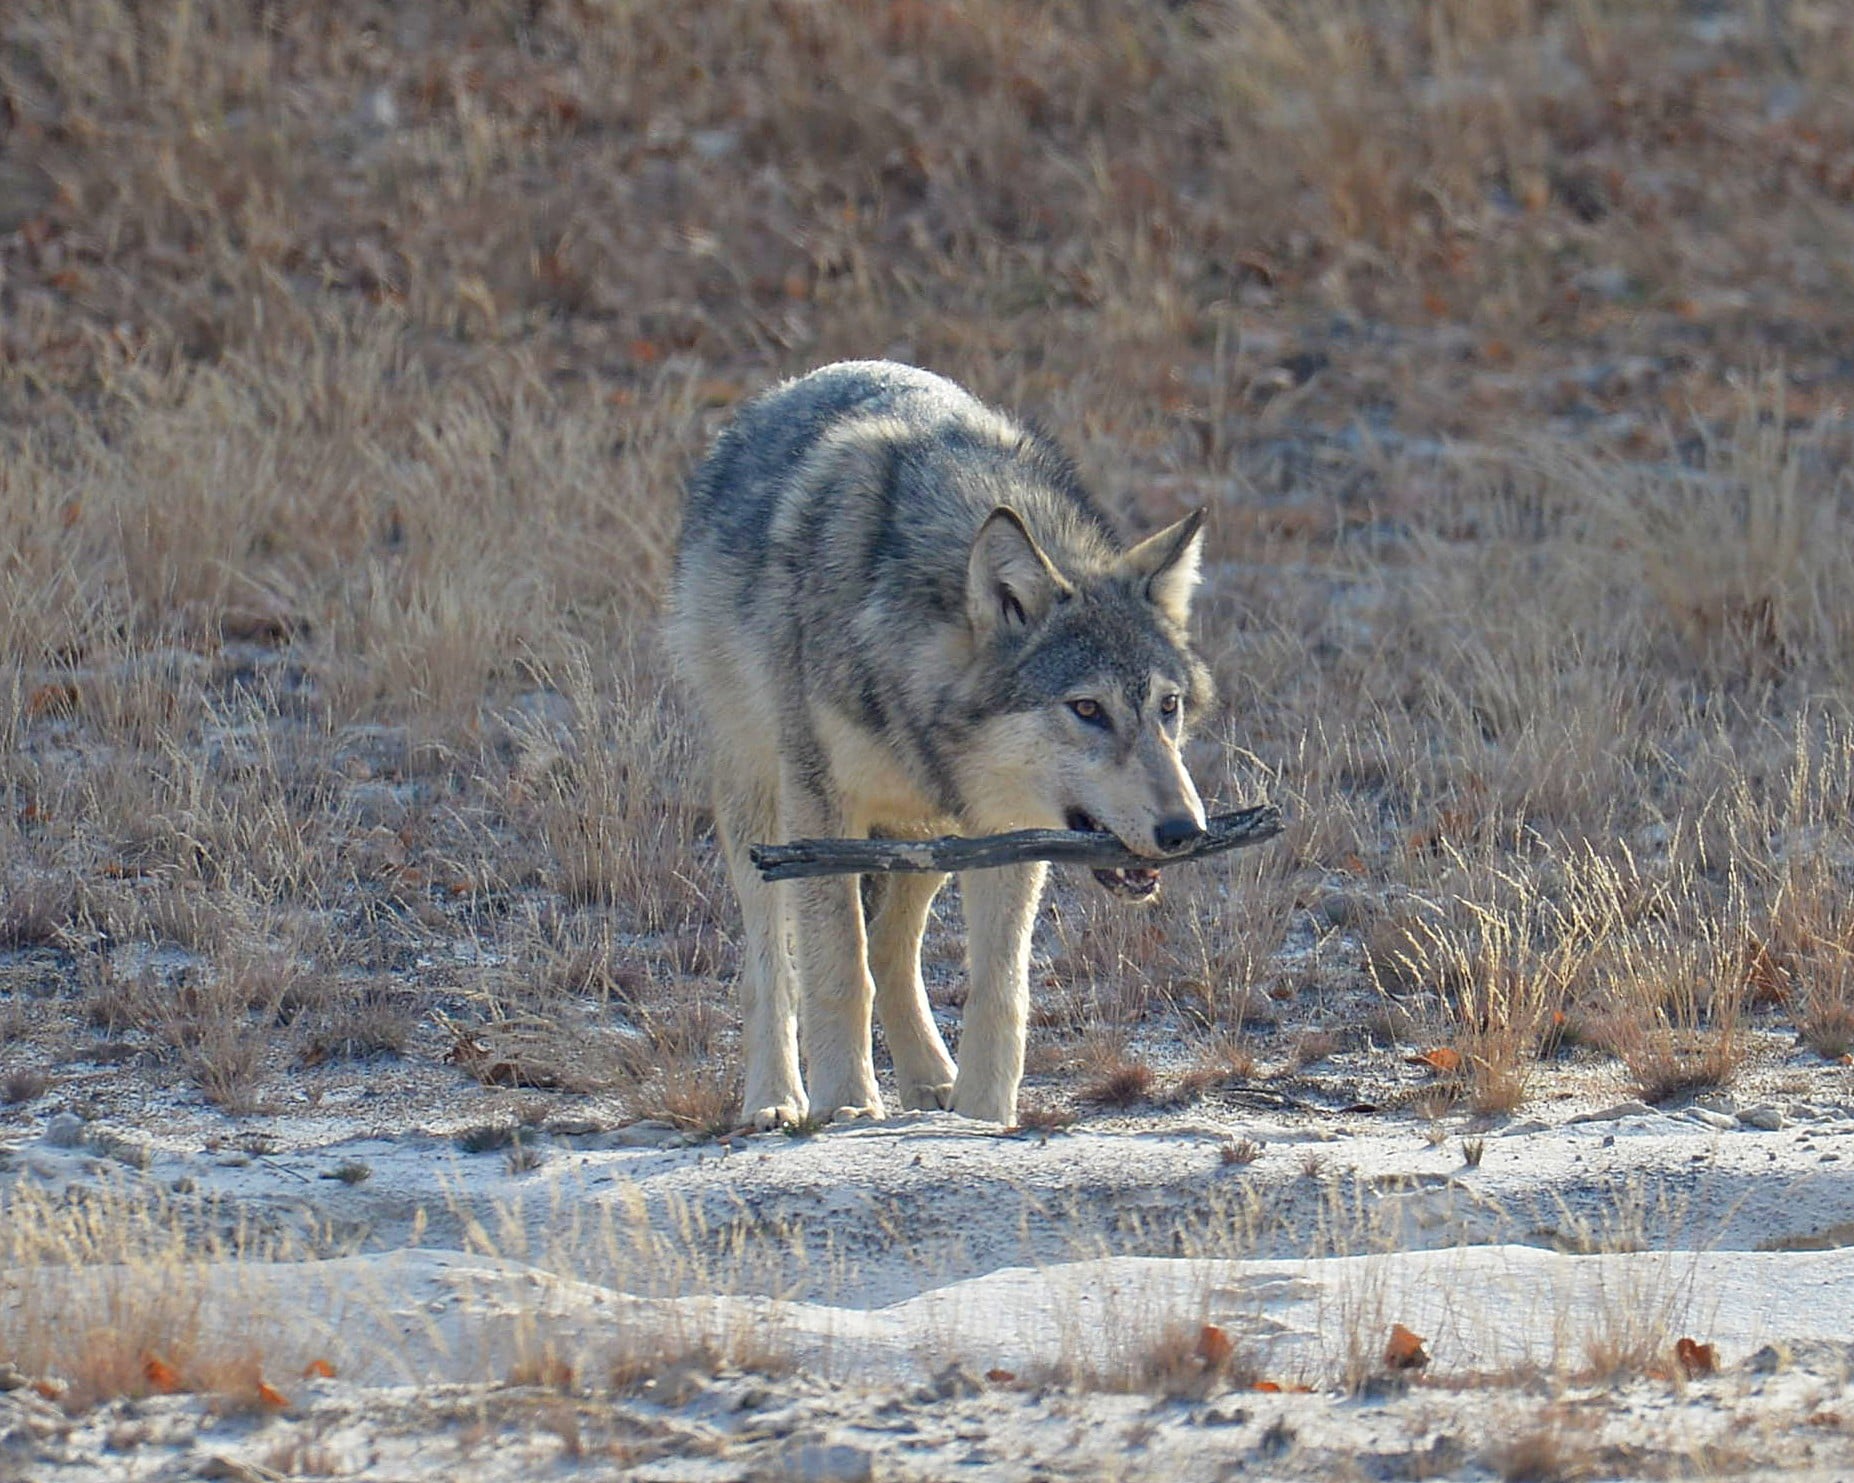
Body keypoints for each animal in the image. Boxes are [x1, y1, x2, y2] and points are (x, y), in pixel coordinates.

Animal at [671, 365, 1216, 1127]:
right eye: (1087, 708)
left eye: (1167, 707)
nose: (1184, 831)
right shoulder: (817, 808)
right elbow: (836, 967)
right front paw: (845, 1104)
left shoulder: (1008, 827)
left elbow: (1000, 991)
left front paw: (984, 1115)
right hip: (760, 809)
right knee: (772, 964)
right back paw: (776, 1100)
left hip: (929, 837)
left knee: (893, 949)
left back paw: (932, 1083)